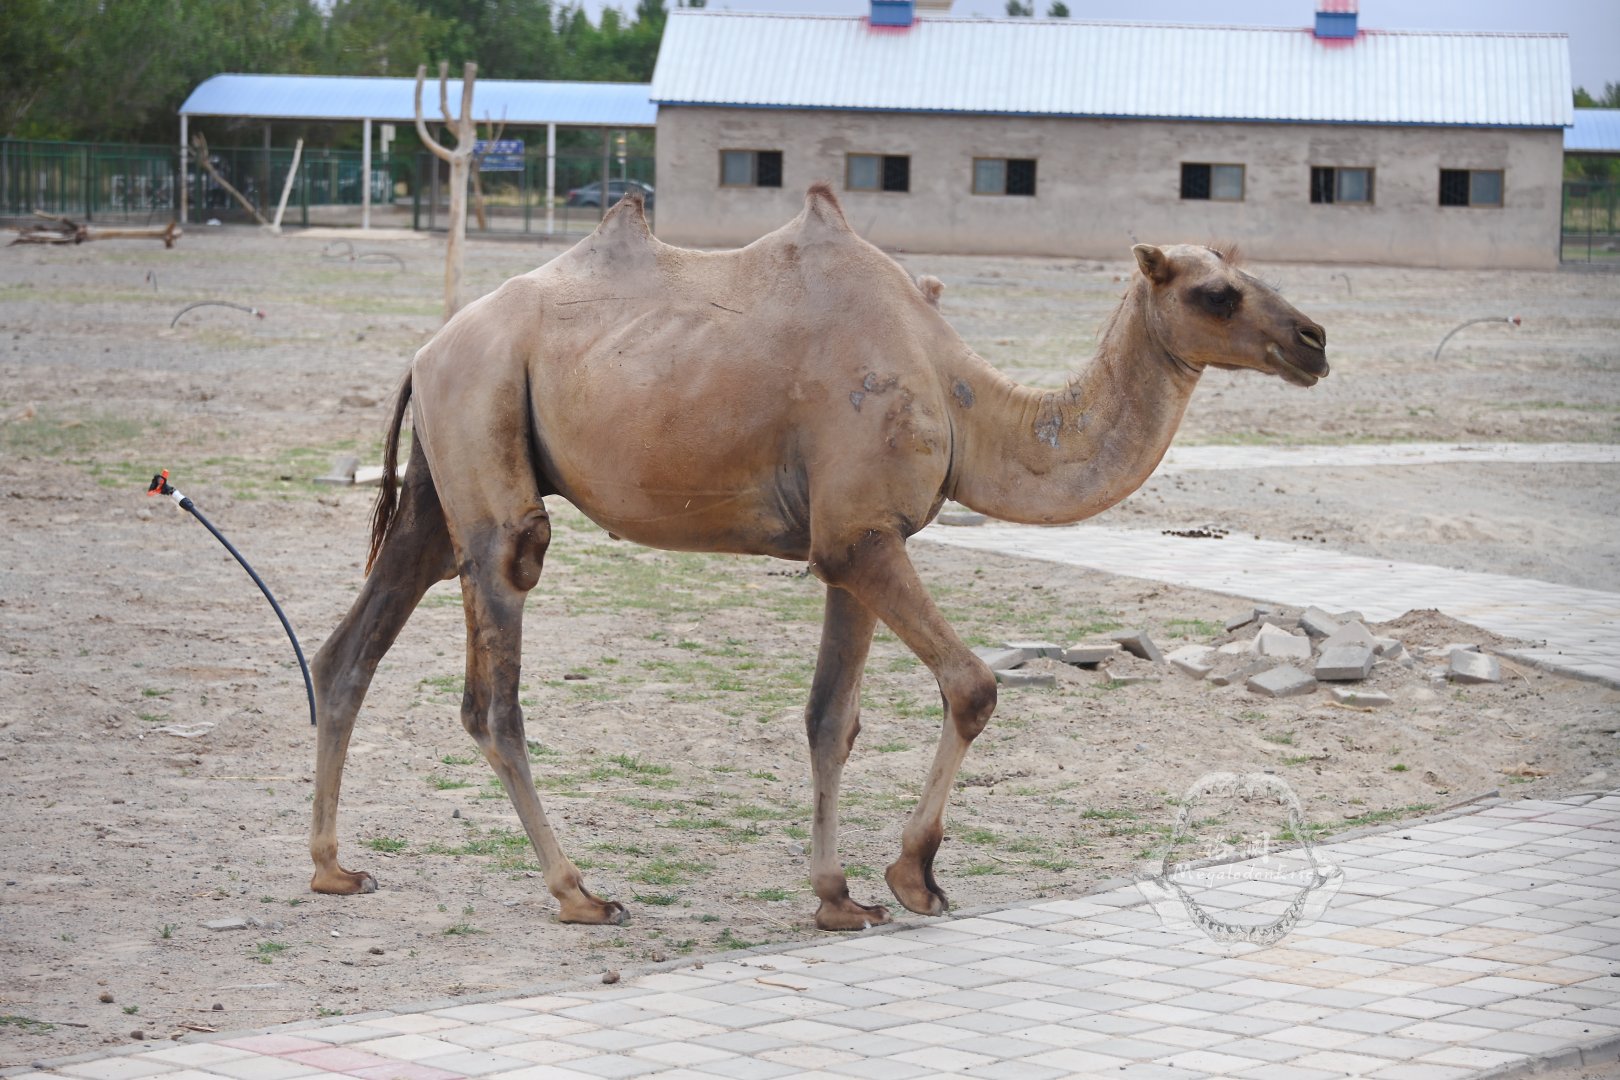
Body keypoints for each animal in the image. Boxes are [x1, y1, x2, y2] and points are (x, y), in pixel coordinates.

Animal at [309, 184, 1328, 931]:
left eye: (1242, 272)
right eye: (1215, 293)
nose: (1314, 340)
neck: (961, 397)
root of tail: (426, 349)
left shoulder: (862, 540)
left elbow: (832, 719)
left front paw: (839, 897)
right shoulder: (859, 533)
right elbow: (972, 687)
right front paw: (914, 874)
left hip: (441, 485)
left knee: (348, 651)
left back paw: (332, 869)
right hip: (490, 464)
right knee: (494, 685)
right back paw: (580, 894)